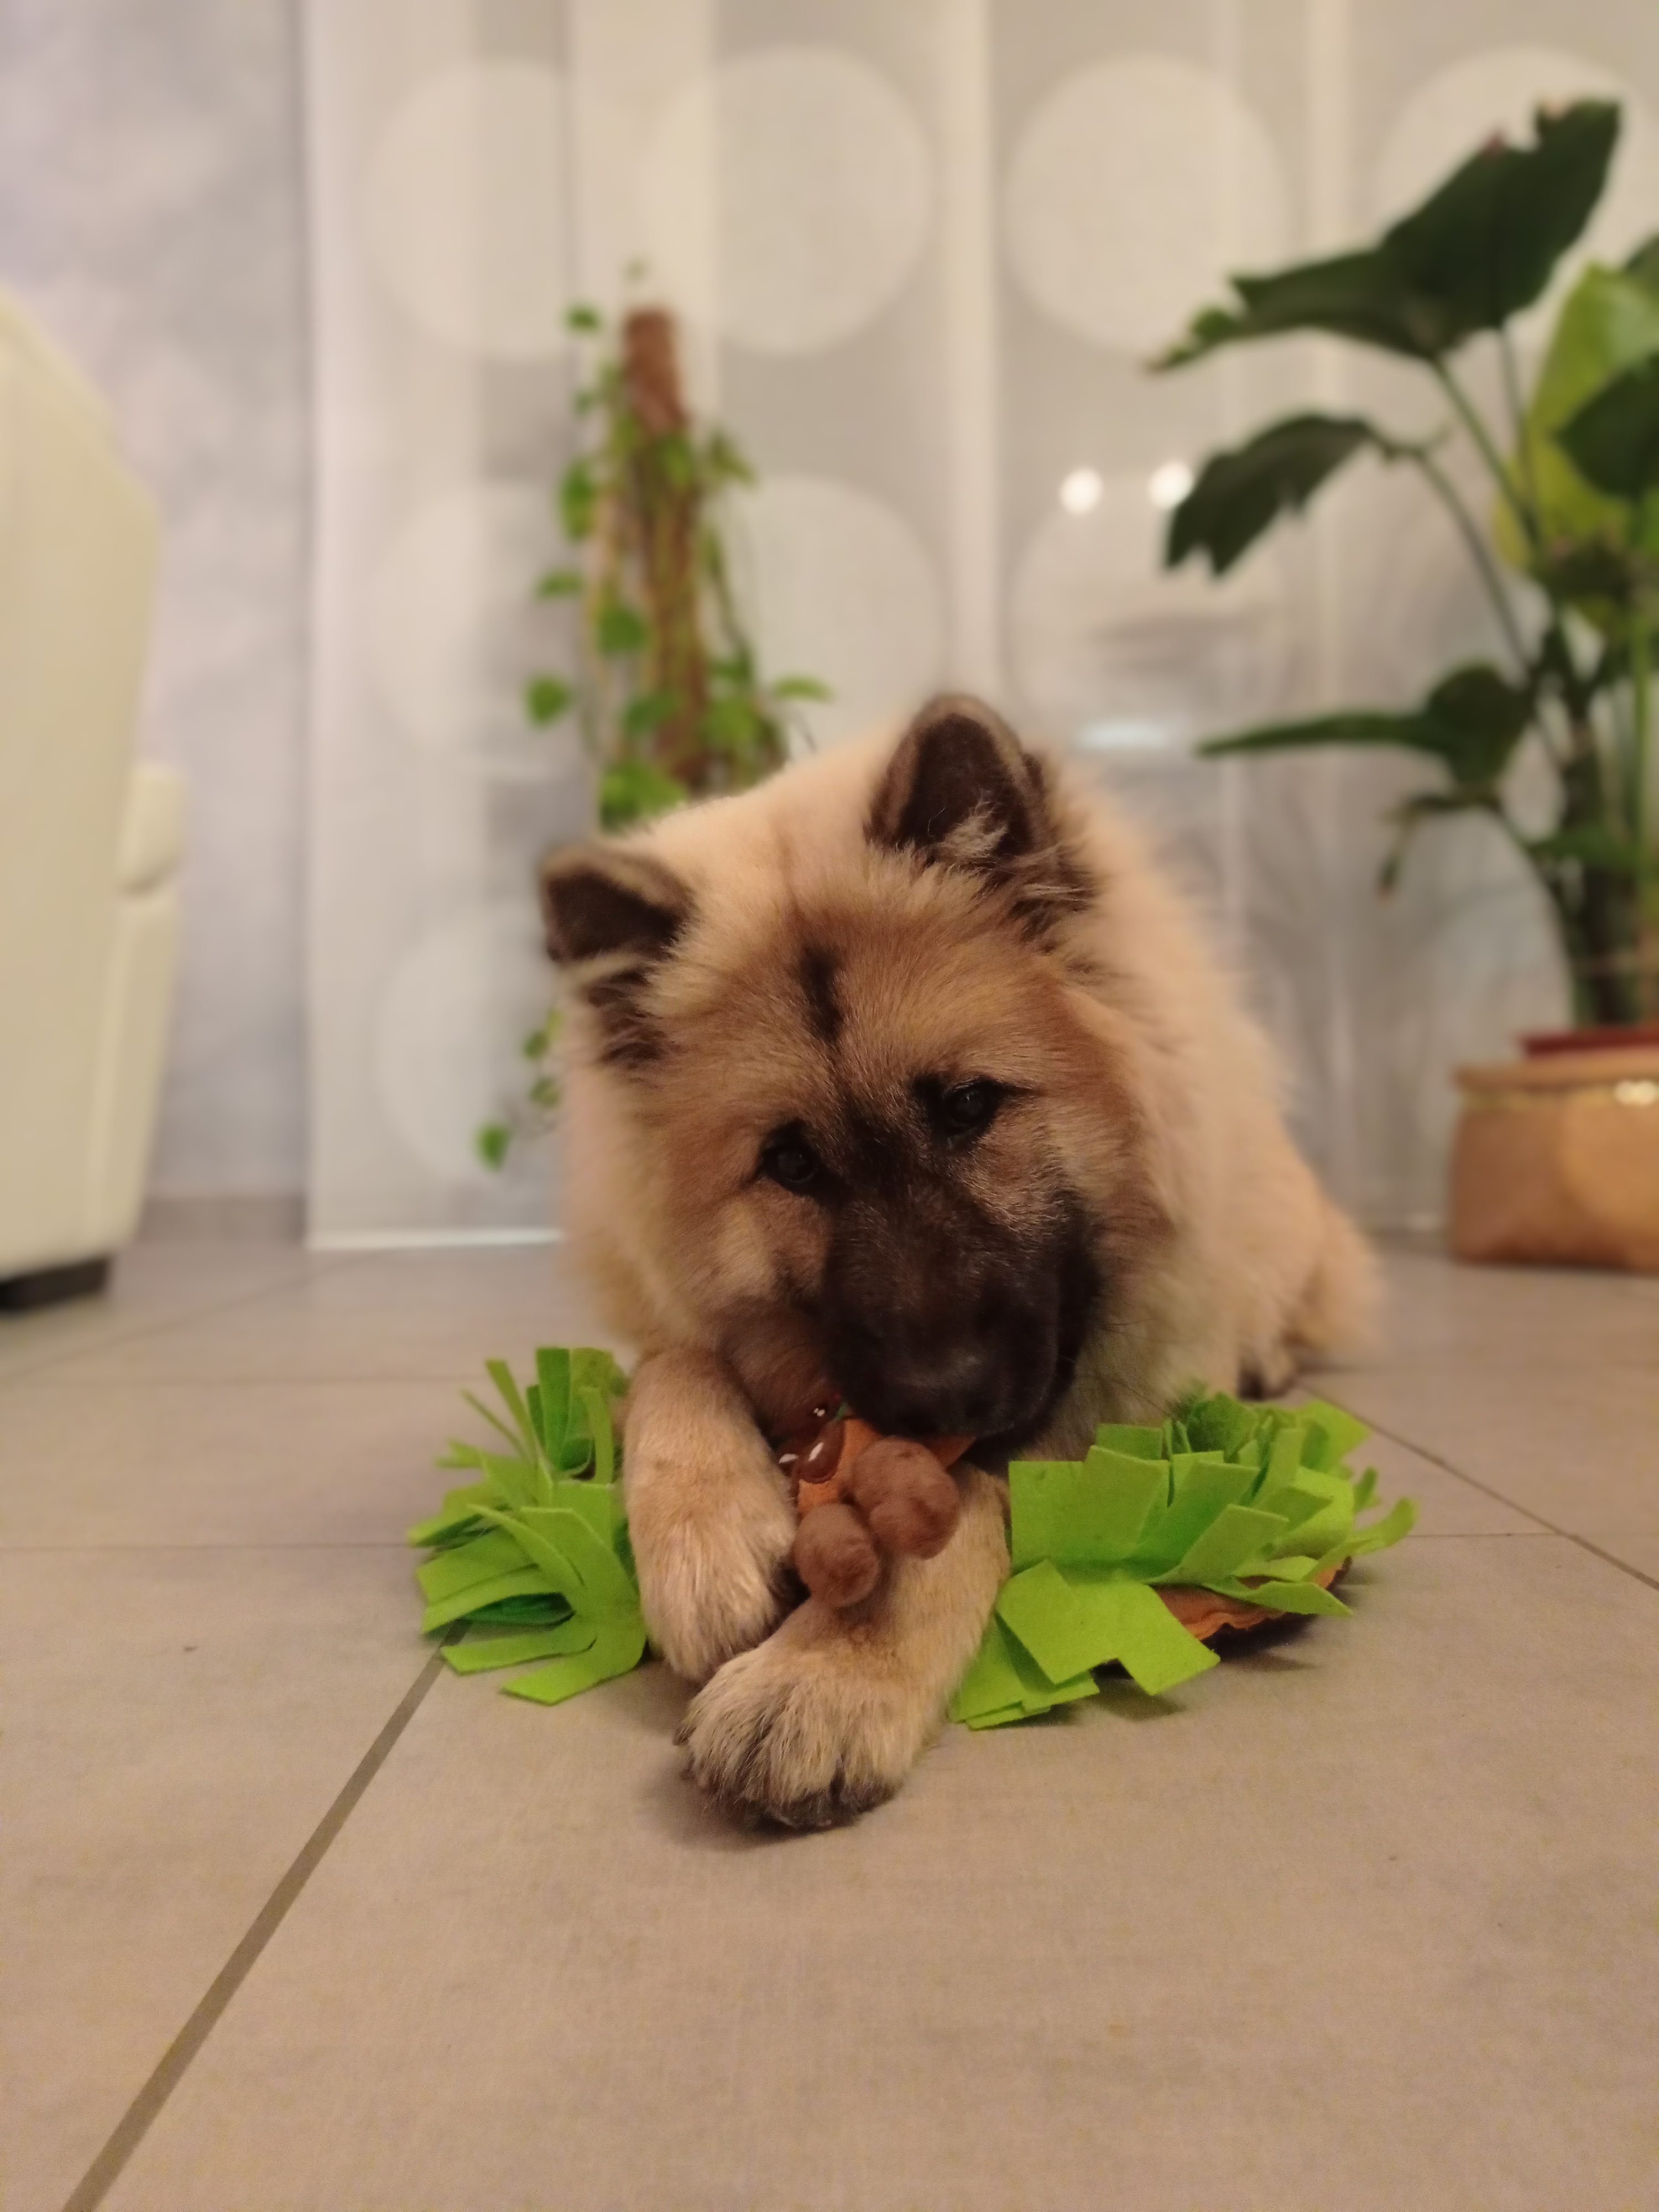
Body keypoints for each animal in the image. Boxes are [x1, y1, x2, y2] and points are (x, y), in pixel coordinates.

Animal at [540, 697, 1375, 1827]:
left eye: (970, 1106)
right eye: (789, 1163)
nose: (941, 1398)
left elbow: (959, 1506)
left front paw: (824, 1677)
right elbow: (677, 1365)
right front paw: (709, 1536)